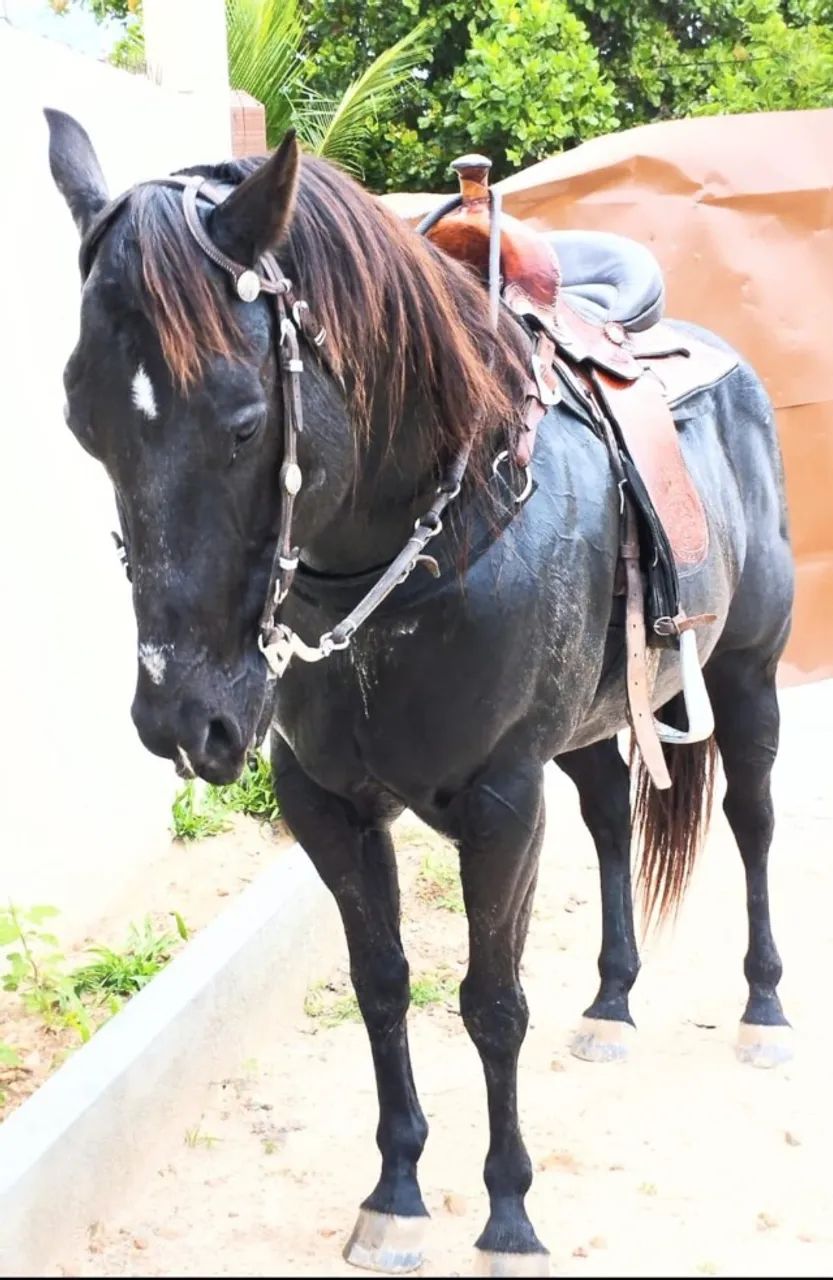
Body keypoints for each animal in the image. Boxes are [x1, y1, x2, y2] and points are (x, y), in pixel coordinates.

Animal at [45, 109, 794, 1276]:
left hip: (746, 674)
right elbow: (383, 983)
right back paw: (612, 1002)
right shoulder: (328, 807)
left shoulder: (499, 807)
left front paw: (507, 1214)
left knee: (752, 820)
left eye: (245, 420)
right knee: (610, 823)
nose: (182, 719)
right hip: (591, 726)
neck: (437, 528)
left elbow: (490, 1003)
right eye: (84, 422)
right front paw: (396, 1191)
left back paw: (764, 1009)